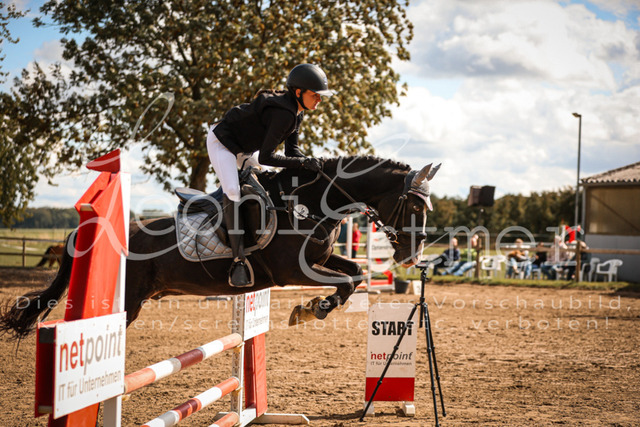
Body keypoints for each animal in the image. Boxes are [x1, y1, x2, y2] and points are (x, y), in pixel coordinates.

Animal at [0, 156, 440, 340]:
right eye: (415, 206)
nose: (412, 257)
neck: (309, 202)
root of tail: (86, 230)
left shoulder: (320, 260)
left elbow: (356, 273)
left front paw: (313, 307)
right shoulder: (292, 272)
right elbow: (347, 281)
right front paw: (310, 309)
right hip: (126, 302)